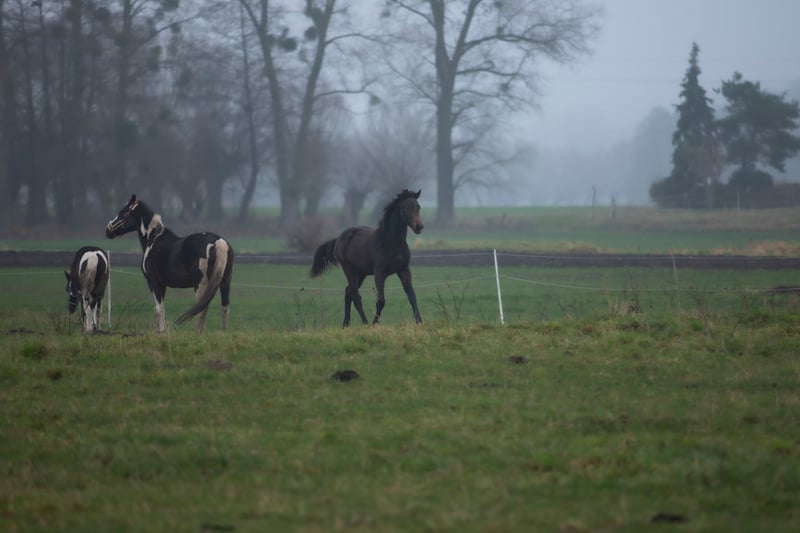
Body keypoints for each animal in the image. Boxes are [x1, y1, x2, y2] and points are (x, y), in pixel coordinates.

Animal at [106, 194, 234, 332]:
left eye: (123, 213)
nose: (108, 230)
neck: (153, 239)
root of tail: (219, 242)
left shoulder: (154, 282)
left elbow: (159, 308)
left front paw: (162, 331)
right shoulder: (163, 285)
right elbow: (160, 308)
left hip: (201, 284)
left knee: (202, 307)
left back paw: (197, 333)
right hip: (225, 282)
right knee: (225, 305)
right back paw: (223, 332)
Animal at [310, 189, 424, 327]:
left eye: (418, 207)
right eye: (406, 208)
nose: (419, 227)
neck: (391, 242)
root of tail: (338, 239)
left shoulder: (404, 270)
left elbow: (412, 296)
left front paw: (419, 322)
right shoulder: (379, 272)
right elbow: (381, 301)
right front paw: (375, 323)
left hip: (361, 273)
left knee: (348, 292)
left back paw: (346, 324)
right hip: (349, 270)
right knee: (355, 296)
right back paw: (365, 323)